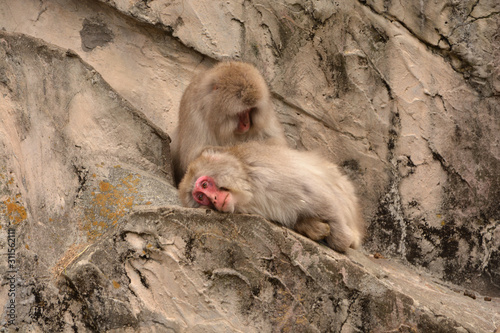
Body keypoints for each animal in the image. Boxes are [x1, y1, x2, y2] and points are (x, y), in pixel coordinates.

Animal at [178, 140, 366, 252]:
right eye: (201, 197)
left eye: (204, 185)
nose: (214, 200)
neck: (249, 189)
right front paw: (312, 227)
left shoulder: (272, 178)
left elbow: (323, 200)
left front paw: (343, 240)